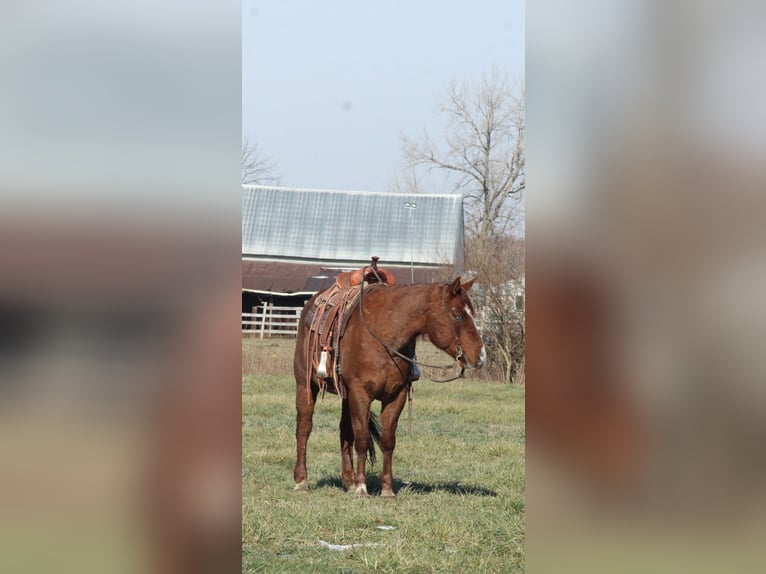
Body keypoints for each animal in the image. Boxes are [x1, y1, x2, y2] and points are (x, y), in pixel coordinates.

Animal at [293, 276, 486, 497]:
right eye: (459, 316)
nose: (481, 357)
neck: (385, 335)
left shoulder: (396, 396)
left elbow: (387, 440)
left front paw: (386, 489)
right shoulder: (360, 394)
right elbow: (362, 439)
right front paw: (362, 487)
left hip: (345, 395)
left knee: (344, 431)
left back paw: (348, 481)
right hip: (305, 386)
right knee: (304, 429)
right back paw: (301, 481)